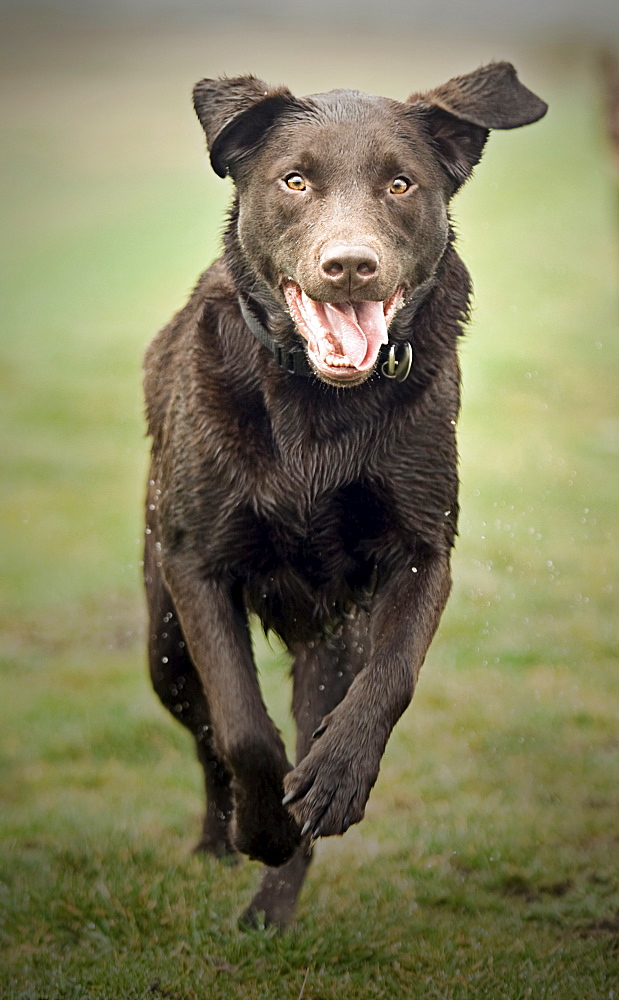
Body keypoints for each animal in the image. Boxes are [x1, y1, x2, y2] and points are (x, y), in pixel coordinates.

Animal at [142, 64, 548, 928]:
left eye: (400, 184)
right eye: (294, 181)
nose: (351, 265)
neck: (318, 410)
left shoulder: (422, 553)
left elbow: (390, 679)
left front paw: (332, 784)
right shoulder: (196, 566)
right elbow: (242, 728)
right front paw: (259, 826)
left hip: (332, 637)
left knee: (317, 715)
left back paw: (274, 897)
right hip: (163, 637)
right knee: (204, 732)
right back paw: (223, 840)